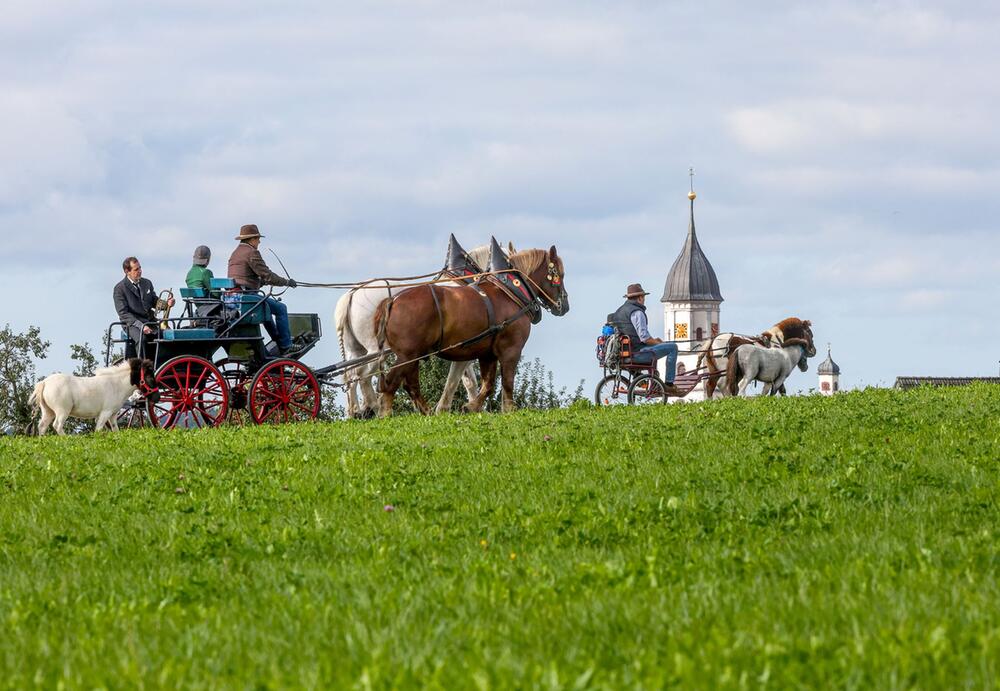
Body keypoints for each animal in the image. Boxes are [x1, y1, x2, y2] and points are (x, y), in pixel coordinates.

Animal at [336, 241, 516, 418]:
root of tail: (352, 293)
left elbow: (468, 381)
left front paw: (472, 407)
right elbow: (460, 380)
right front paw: (456, 407)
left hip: (356, 349)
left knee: (349, 375)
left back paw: (355, 411)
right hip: (376, 349)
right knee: (362, 374)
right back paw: (373, 406)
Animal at [374, 246, 568, 414]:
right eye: (560, 274)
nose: (565, 306)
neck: (510, 293)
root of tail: (393, 300)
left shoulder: (487, 353)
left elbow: (488, 385)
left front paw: (471, 407)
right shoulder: (511, 350)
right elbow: (507, 383)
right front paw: (509, 410)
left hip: (413, 355)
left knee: (410, 385)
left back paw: (426, 411)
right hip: (407, 355)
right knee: (391, 383)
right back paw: (385, 414)